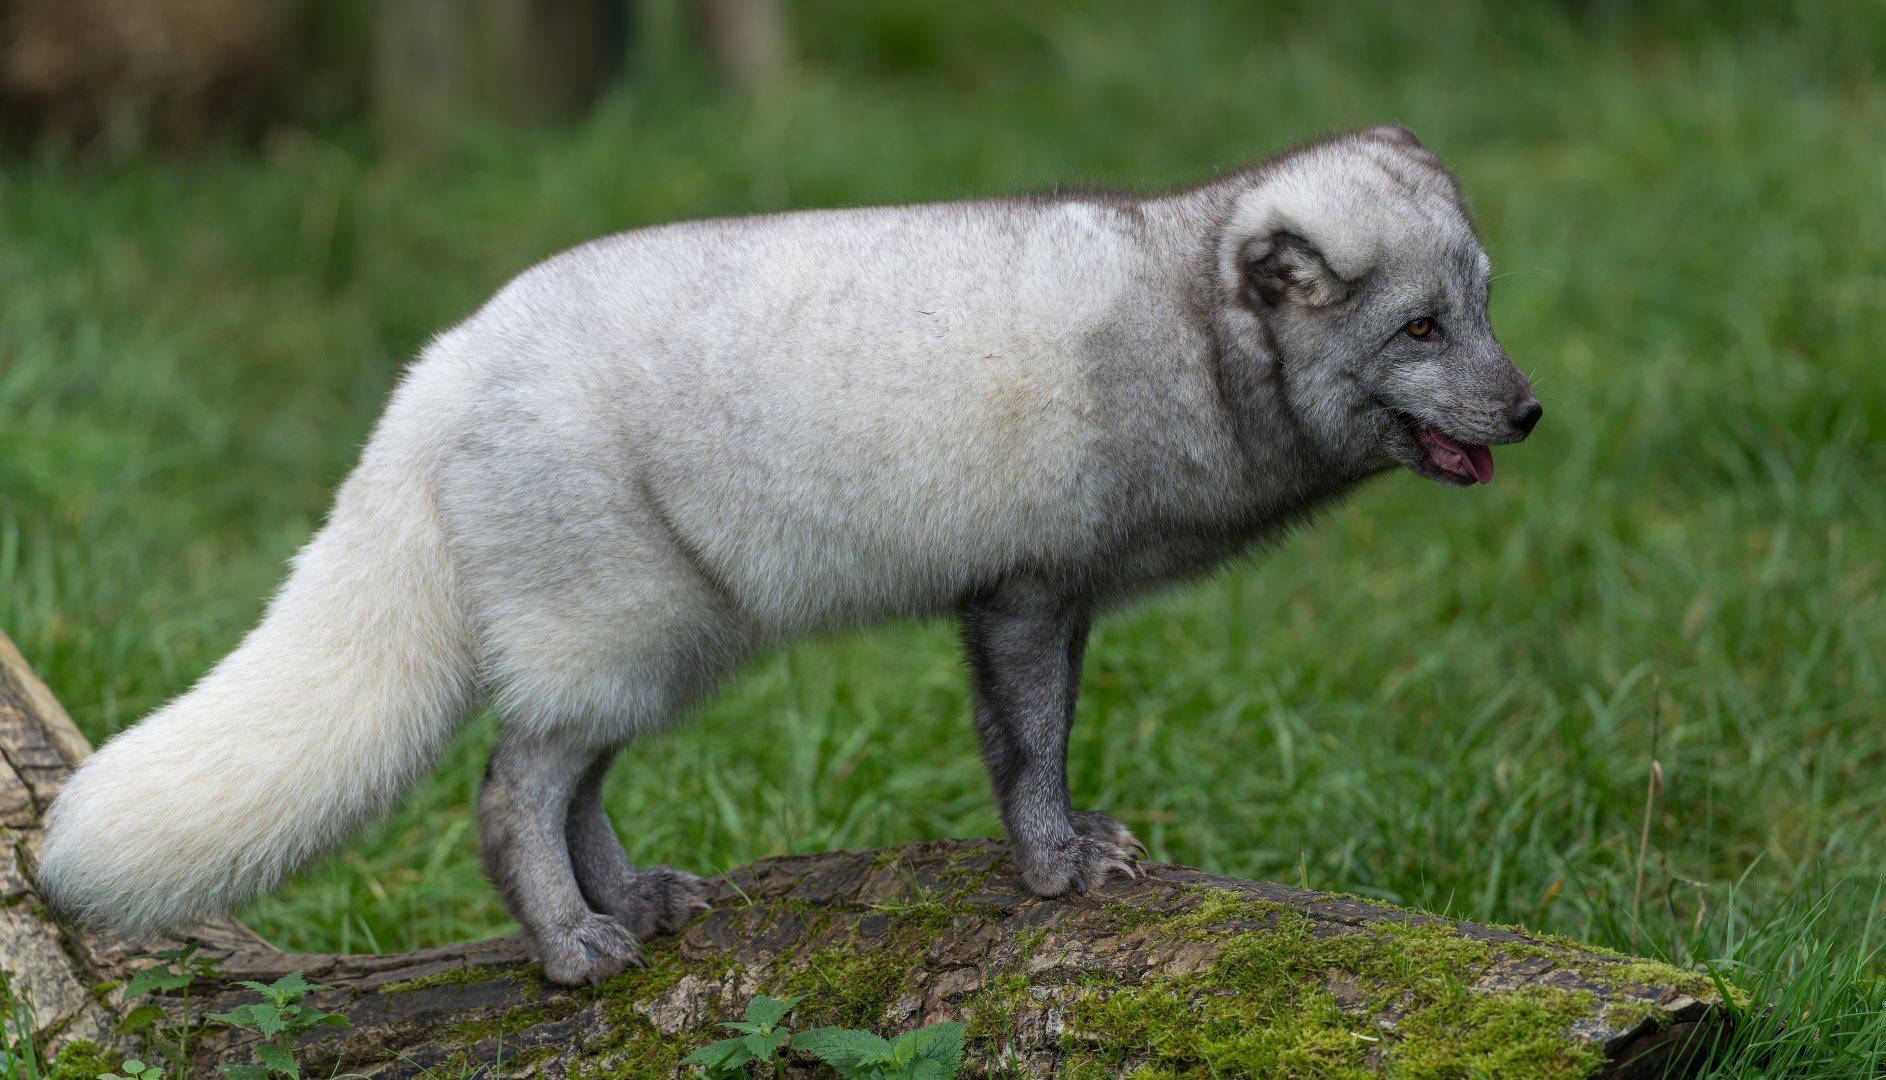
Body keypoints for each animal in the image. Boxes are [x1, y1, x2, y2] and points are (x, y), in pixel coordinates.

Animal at [39, 126, 1540, 985]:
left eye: (1481, 306)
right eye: (1416, 330)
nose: (1526, 411)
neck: (1180, 337)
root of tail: (440, 367)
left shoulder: (1055, 599)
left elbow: (1044, 740)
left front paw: (1072, 845)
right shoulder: (1020, 592)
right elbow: (1024, 748)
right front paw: (1053, 868)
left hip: (668, 639)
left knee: (572, 780)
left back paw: (634, 899)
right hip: (623, 623)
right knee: (511, 787)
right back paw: (570, 948)